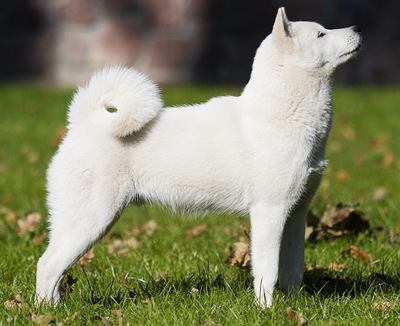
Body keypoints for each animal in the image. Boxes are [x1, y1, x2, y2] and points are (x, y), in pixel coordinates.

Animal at [36, 8, 362, 308]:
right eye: (320, 34)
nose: (357, 28)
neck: (281, 114)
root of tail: (83, 123)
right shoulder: (269, 212)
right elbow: (268, 271)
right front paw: (266, 310)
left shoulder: (295, 214)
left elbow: (293, 270)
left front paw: (293, 307)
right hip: (91, 219)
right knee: (47, 265)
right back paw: (46, 312)